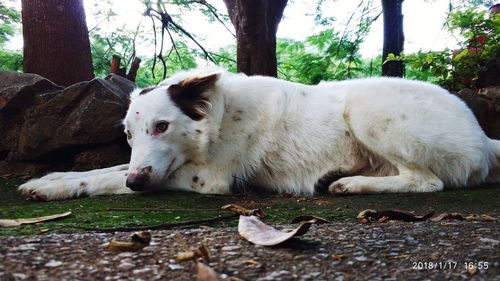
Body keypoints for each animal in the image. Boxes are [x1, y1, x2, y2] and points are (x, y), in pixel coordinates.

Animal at [19, 67, 500, 200]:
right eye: (129, 134)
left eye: (162, 126)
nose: (139, 184)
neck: (218, 117)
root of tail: (484, 134)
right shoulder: (148, 165)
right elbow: (113, 168)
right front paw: (52, 178)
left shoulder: (208, 180)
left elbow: (110, 177)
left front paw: (57, 186)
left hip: (366, 109)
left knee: (428, 181)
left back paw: (351, 184)